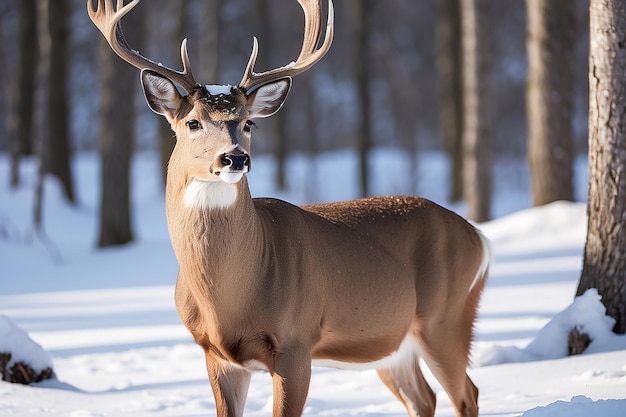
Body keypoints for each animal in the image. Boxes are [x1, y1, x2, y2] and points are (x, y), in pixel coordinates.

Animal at [89, 0, 488, 416]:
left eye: (249, 123)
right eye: (193, 122)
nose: (235, 158)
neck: (229, 301)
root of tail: (477, 236)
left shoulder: (296, 343)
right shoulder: (216, 353)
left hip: (446, 317)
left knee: (467, 393)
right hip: (392, 343)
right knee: (424, 397)